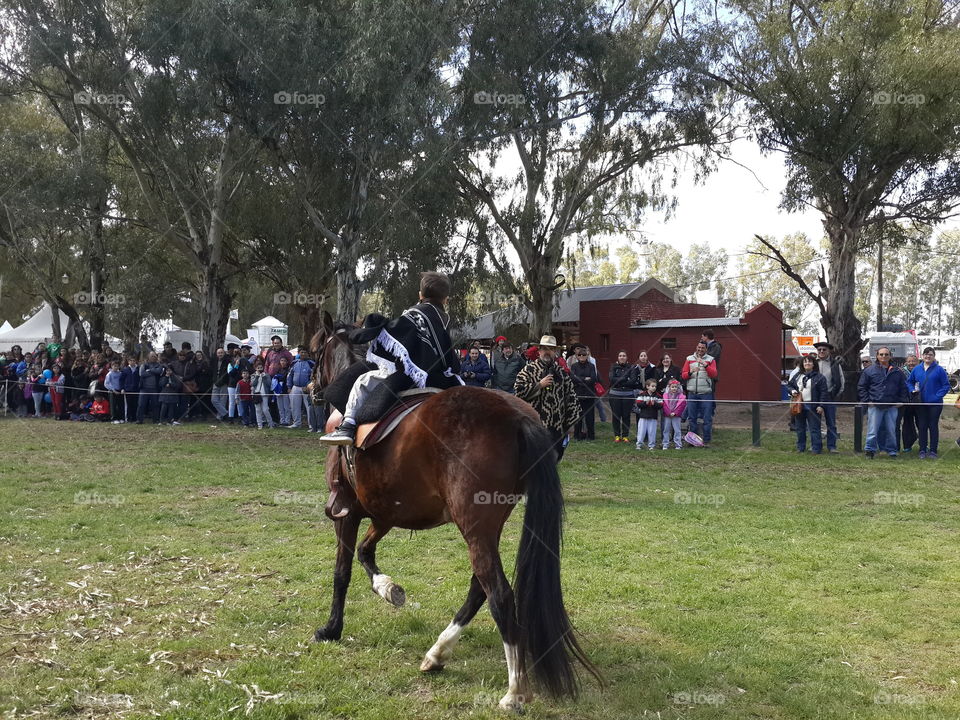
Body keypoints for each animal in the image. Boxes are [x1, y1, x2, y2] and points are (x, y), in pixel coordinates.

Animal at [307, 311, 599, 710]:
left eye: (314, 350)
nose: (310, 386)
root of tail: (515, 415)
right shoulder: (385, 512)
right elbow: (367, 553)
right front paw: (388, 588)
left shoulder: (347, 513)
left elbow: (342, 572)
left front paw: (332, 628)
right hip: (486, 526)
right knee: (479, 588)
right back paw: (438, 653)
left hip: (474, 527)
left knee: (498, 594)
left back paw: (514, 690)